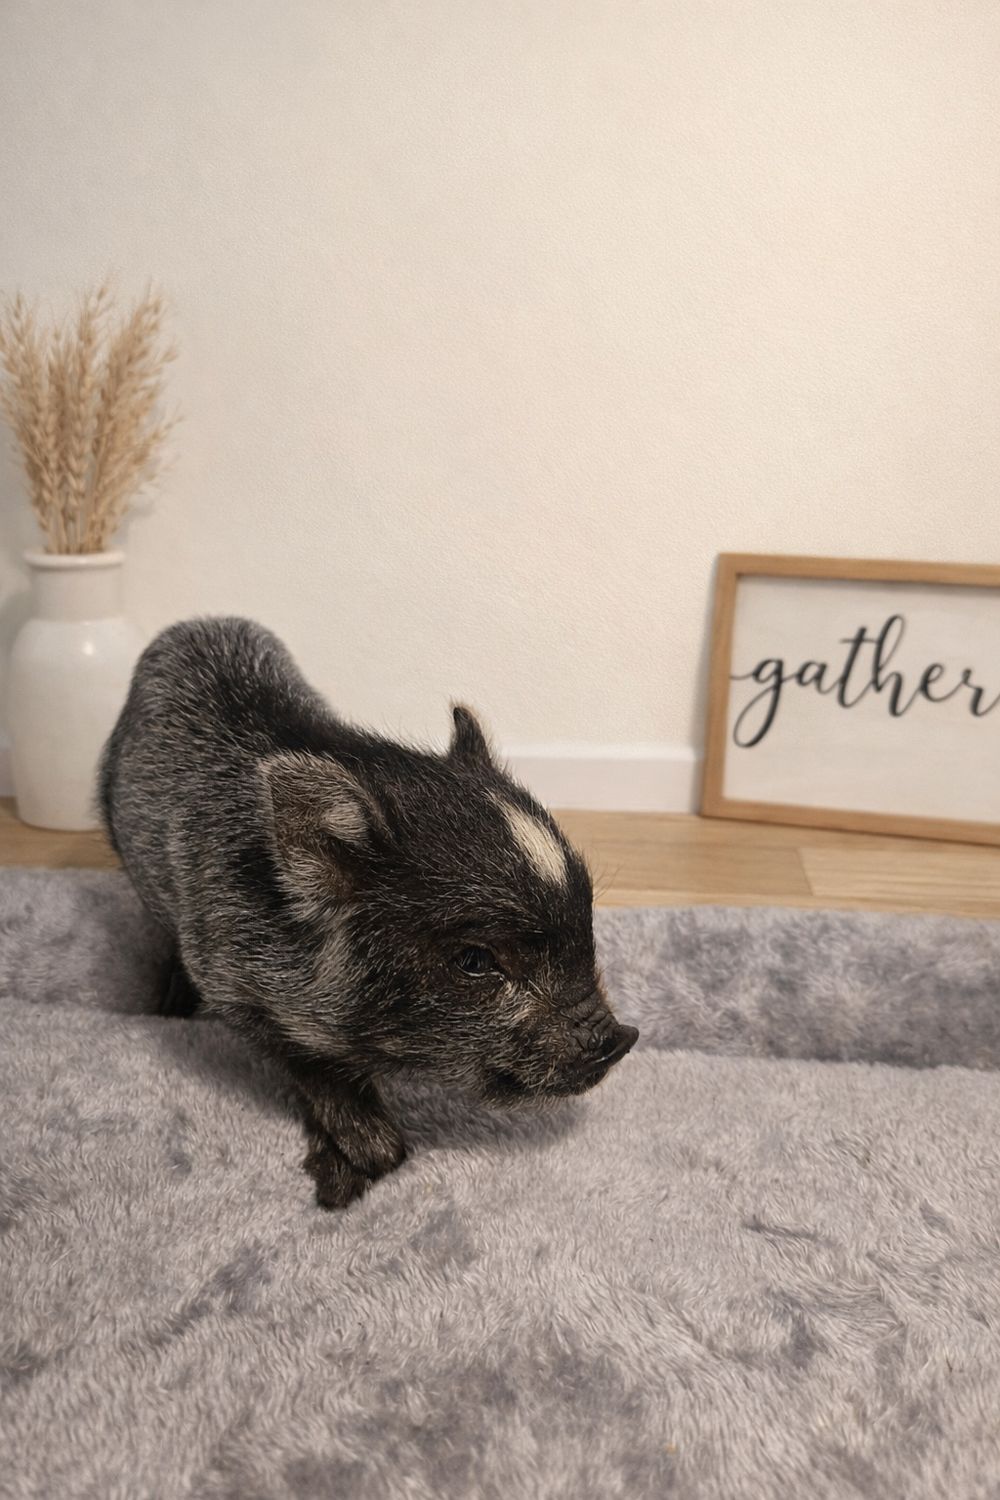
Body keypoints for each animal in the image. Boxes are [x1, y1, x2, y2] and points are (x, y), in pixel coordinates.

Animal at [98, 618, 639, 1208]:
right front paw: (360, 1174)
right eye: (475, 960)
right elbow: (315, 1067)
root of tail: (192, 623)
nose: (621, 1038)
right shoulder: (229, 983)